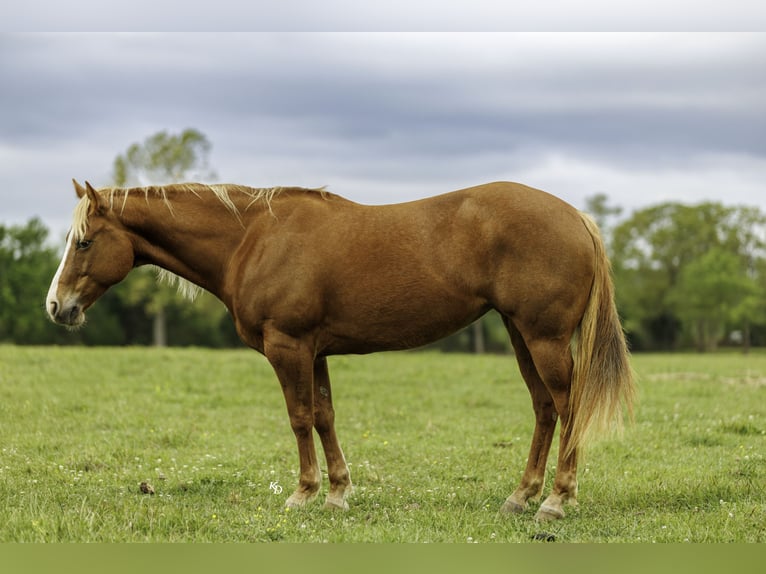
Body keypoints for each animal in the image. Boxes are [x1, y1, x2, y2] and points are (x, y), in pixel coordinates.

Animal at [46, 179, 634, 521]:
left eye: (84, 241)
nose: (57, 306)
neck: (252, 239)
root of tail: (577, 217)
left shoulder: (287, 346)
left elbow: (299, 417)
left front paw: (303, 493)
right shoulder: (315, 351)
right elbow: (325, 416)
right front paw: (336, 492)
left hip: (543, 337)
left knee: (568, 407)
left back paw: (556, 500)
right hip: (519, 334)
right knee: (544, 408)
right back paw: (522, 495)